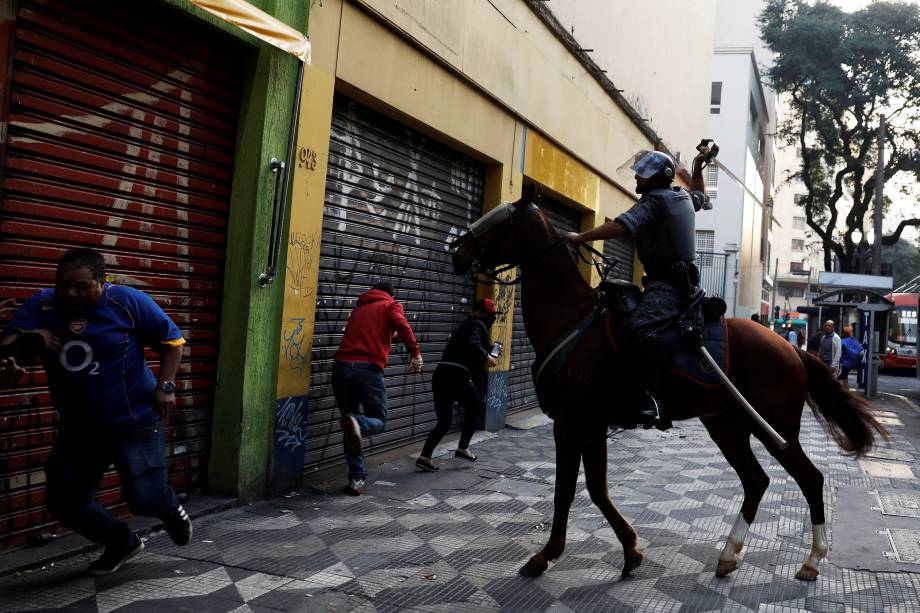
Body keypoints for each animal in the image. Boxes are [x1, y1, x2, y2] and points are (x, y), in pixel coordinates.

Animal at [450, 194, 888, 580]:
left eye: (499, 221)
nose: (457, 252)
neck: (571, 319)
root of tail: (792, 349)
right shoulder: (592, 425)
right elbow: (597, 489)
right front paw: (630, 550)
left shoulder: (571, 423)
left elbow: (567, 491)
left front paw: (546, 556)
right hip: (727, 426)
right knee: (756, 481)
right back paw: (729, 555)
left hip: (774, 429)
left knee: (810, 480)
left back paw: (812, 561)